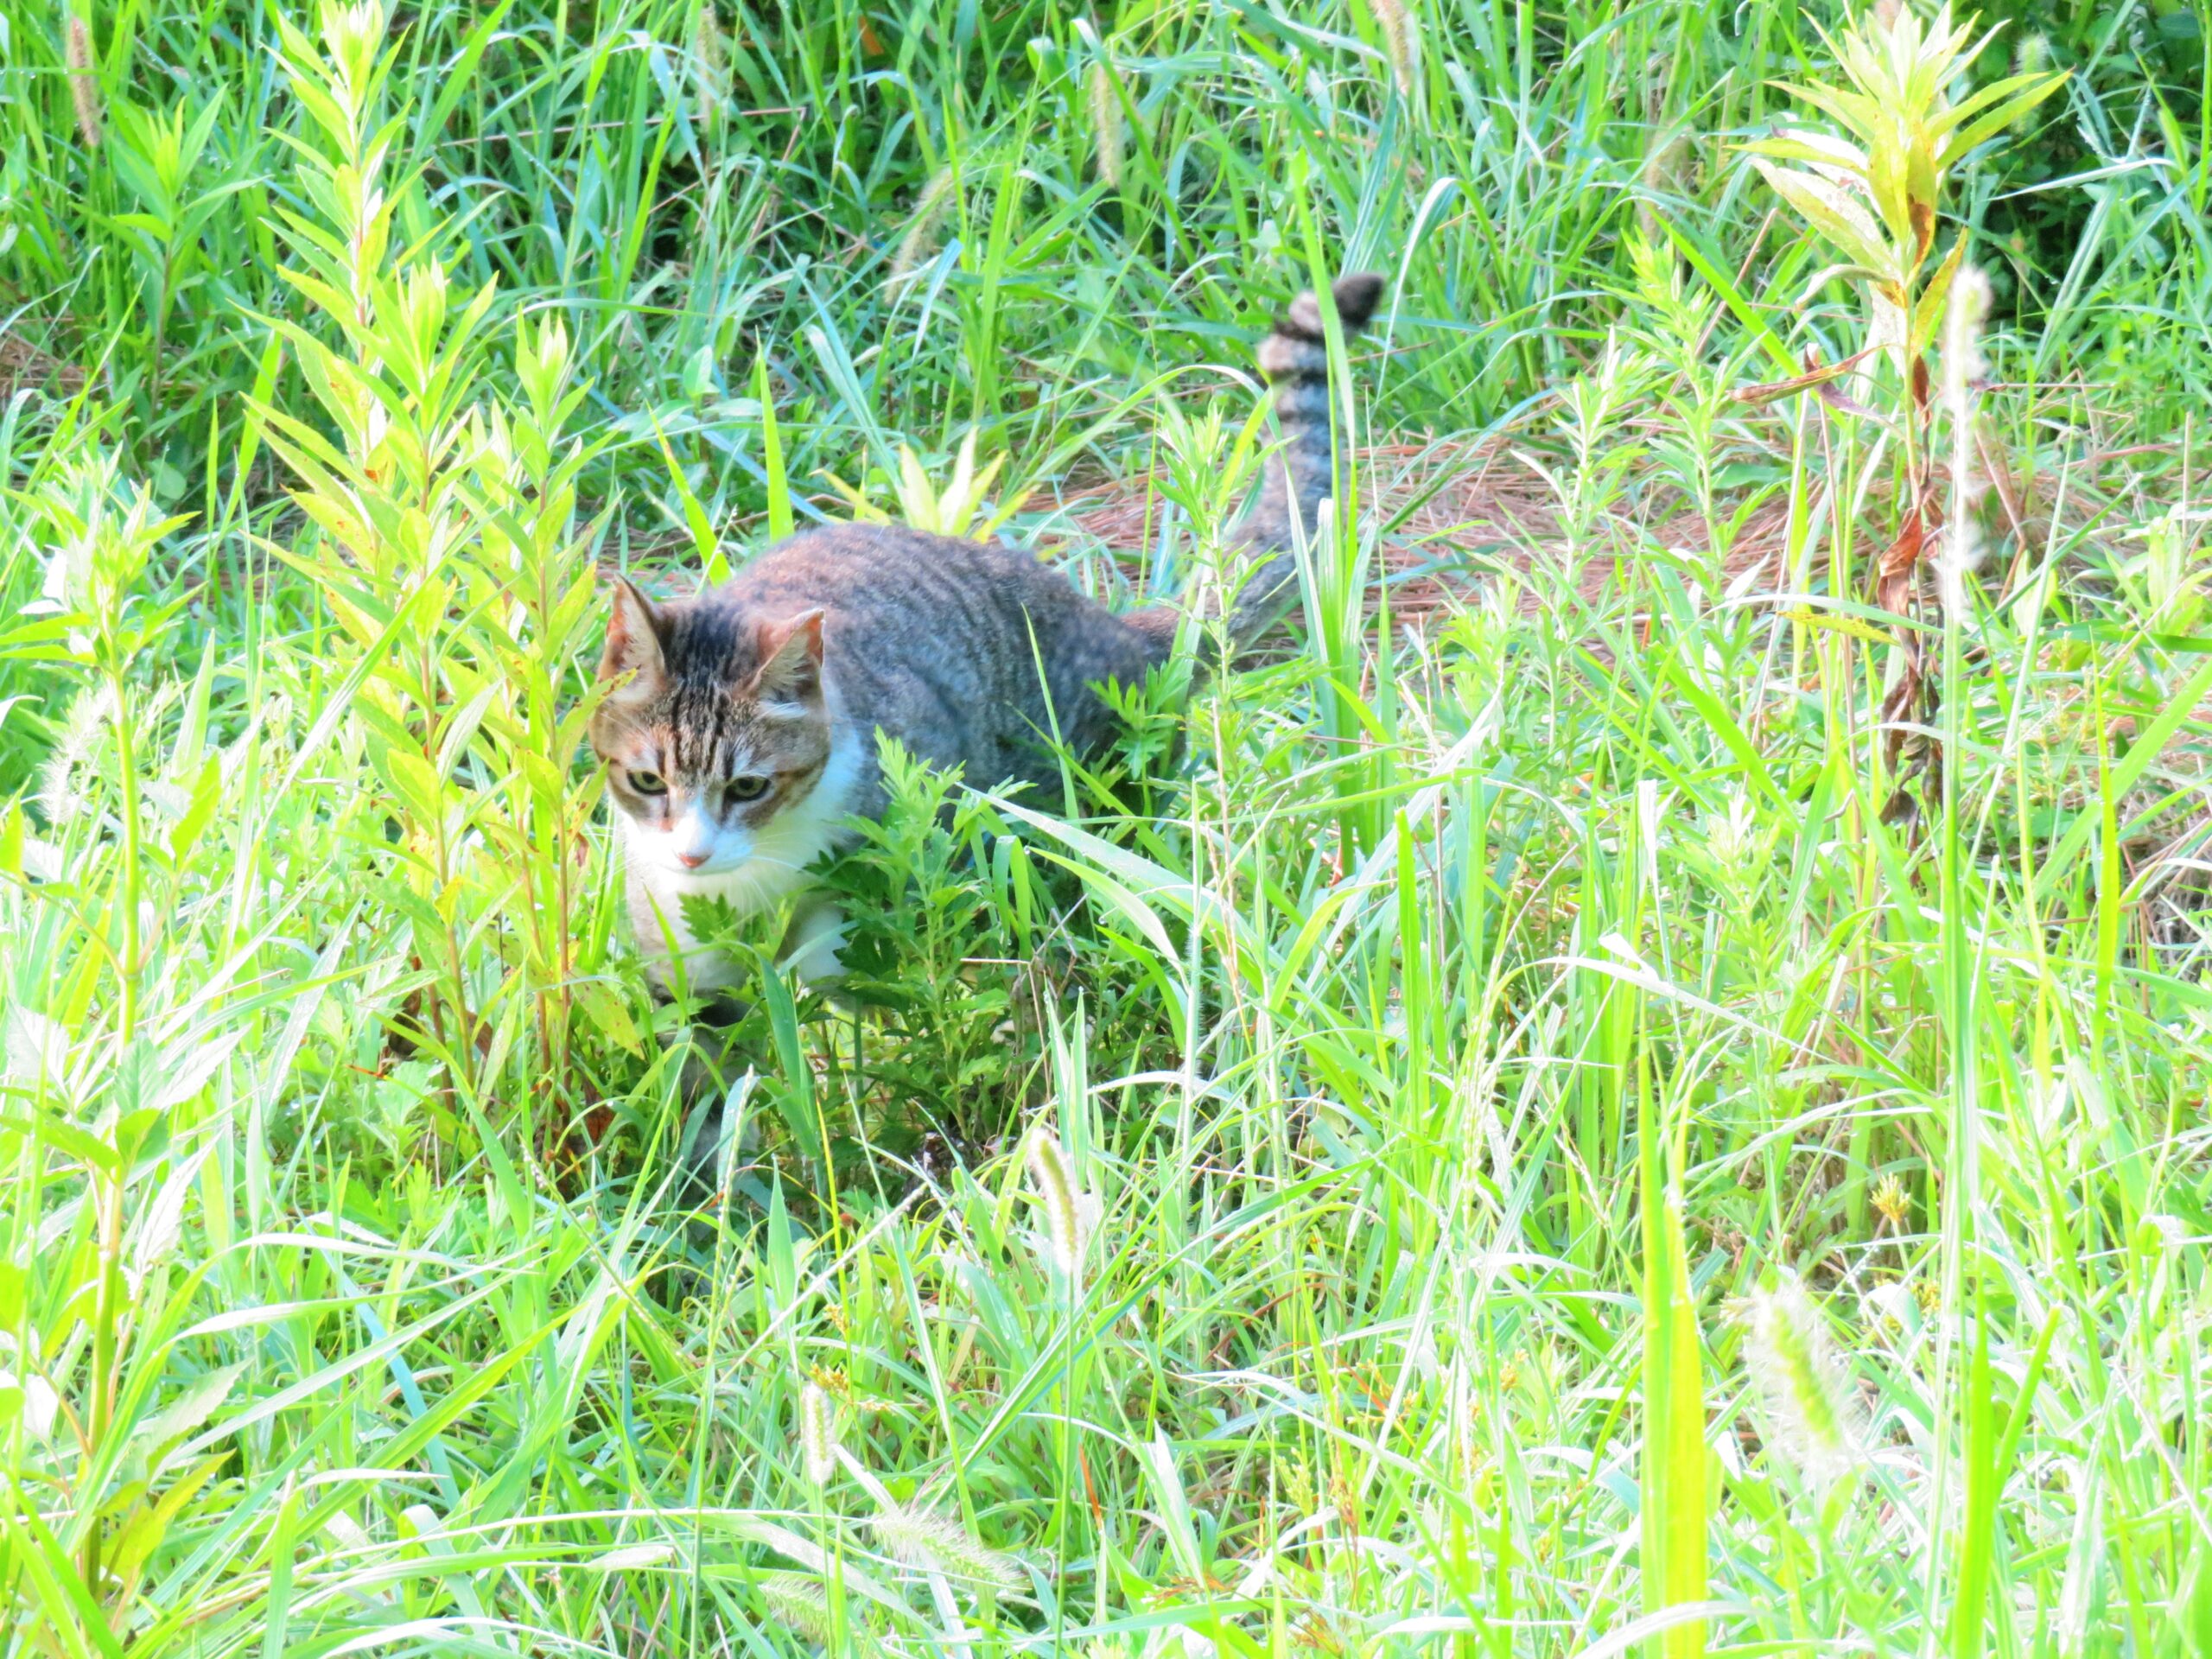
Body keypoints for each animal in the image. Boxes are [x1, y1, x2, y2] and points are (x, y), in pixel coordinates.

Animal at [588, 276, 1380, 1013]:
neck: (753, 883)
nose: (692, 854)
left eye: (749, 787)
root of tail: (1121, 629)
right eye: (648, 782)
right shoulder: (683, 957)